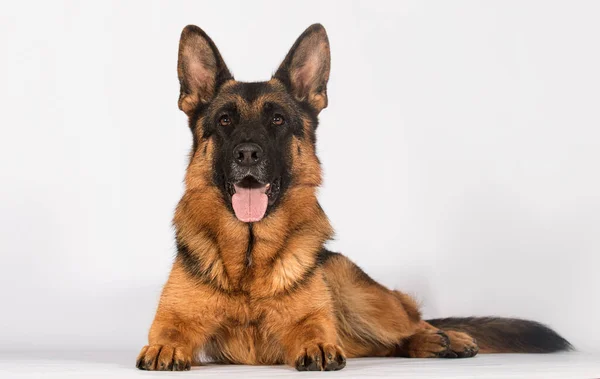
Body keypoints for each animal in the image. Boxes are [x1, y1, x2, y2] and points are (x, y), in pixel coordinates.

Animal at [136, 24, 572, 374]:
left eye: (278, 120)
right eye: (225, 120)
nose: (247, 154)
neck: (248, 261)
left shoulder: (314, 320)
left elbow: (314, 330)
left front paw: (316, 346)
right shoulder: (173, 318)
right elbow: (168, 333)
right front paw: (165, 348)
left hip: (360, 296)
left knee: (412, 320)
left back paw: (446, 337)